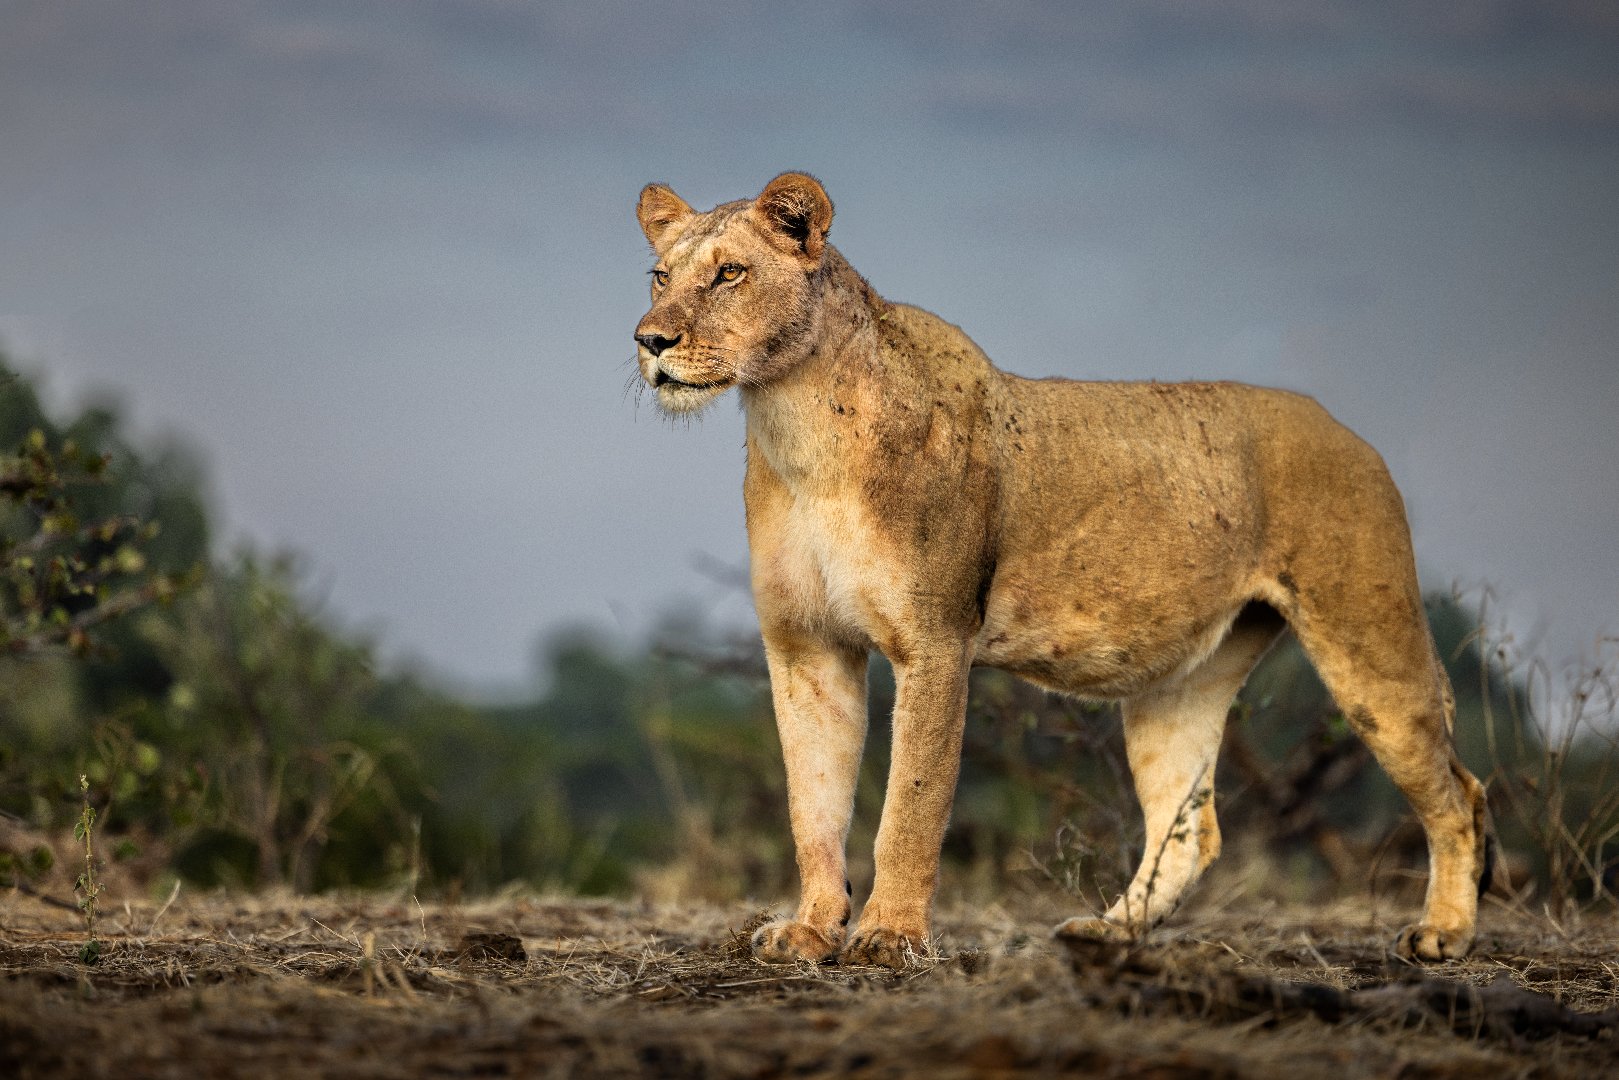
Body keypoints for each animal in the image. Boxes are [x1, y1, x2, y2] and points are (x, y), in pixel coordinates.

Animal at [631, 172, 1495, 970]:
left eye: (730, 273)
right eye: (659, 277)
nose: (649, 342)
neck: (796, 424)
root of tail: (1348, 432)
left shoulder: (935, 641)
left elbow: (910, 805)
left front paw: (889, 938)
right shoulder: (805, 645)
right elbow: (812, 803)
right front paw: (809, 931)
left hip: (1367, 640)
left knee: (1458, 792)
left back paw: (1442, 934)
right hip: (1180, 683)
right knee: (1190, 826)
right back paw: (1109, 930)